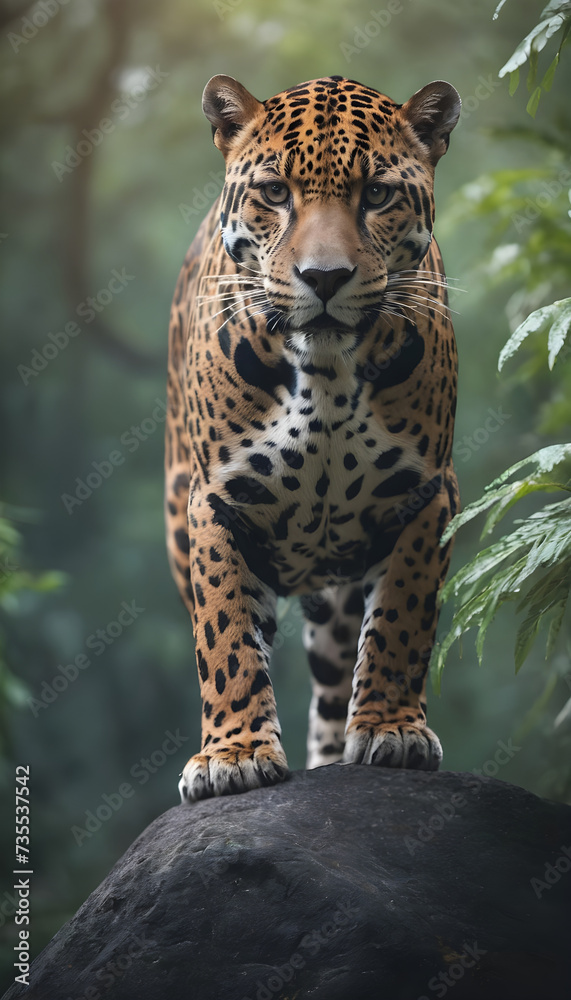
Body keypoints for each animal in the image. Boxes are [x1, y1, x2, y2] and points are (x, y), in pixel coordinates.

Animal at [165, 74, 461, 802]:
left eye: (376, 195)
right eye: (275, 193)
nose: (324, 278)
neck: (326, 373)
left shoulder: (425, 495)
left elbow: (402, 618)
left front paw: (392, 729)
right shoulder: (217, 501)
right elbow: (224, 634)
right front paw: (234, 754)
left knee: (334, 672)